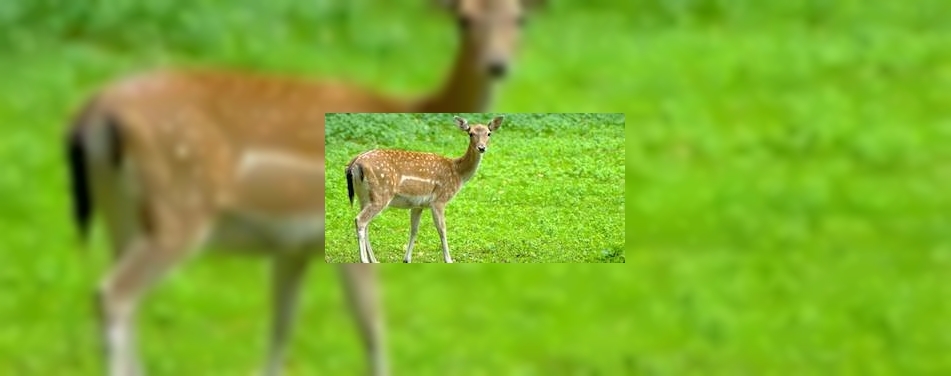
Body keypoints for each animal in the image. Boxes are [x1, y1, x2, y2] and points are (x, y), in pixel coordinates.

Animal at [344, 116, 506, 262]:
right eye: (470, 133)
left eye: (488, 133)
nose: (482, 148)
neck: (457, 172)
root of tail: (354, 164)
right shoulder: (439, 200)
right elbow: (442, 229)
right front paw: (449, 259)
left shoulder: (418, 204)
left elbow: (414, 230)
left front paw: (407, 259)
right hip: (381, 194)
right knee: (360, 220)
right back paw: (364, 260)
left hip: (364, 196)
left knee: (366, 224)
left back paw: (374, 260)